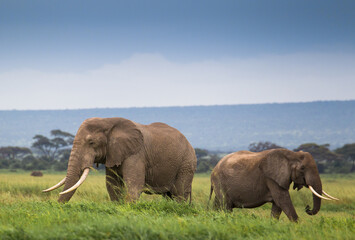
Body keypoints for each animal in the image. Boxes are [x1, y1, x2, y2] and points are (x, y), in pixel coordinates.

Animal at [43, 117, 197, 203]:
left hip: (186, 163)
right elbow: (112, 185)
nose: (57, 206)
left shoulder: (136, 154)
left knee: (179, 193)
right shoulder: (113, 154)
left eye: (91, 142)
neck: (108, 121)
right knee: (168, 195)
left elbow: (134, 185)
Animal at [210, 149, 340, 222]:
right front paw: (298, 226)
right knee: (226, 206)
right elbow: (282, 200)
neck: (292, 155)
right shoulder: (271, 179)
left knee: (218, 205)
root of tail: (214, 168)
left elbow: (277, 205)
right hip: (220, 182)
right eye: (303, 168)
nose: (307, 208)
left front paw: (273, 224)